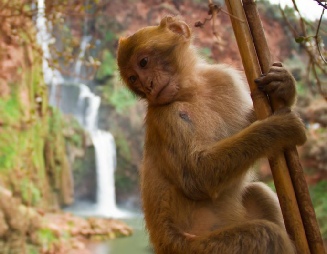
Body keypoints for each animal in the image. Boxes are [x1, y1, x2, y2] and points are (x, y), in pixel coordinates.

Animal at [116, 16, 306, 254]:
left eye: (143, 63)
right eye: (134, 78)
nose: (148, 86)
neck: (191, 92)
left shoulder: (223, 79)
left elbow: (246, 122)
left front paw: (285, 87)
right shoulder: (164, 117)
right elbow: (196, 177)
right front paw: (280, 127)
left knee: (257, 193)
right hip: (197, 248)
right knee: (265, 235)